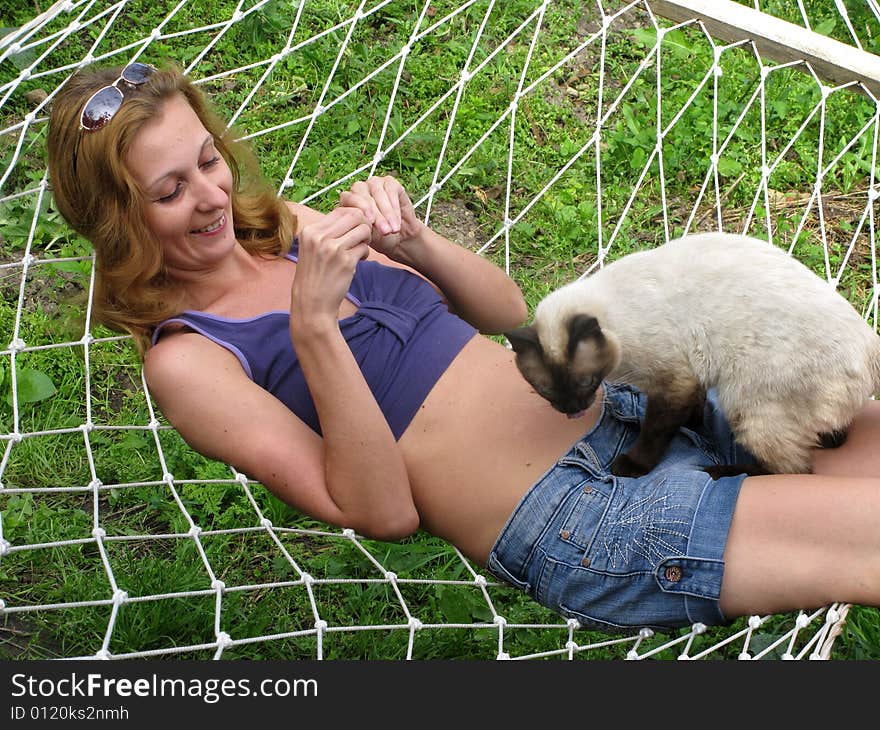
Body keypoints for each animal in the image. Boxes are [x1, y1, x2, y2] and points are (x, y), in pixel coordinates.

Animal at [506, 229, 880, 478]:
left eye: (586, 382)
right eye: (546, 389)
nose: (572, 409)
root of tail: (871, 343)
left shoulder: (673, 381)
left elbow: (655, 430)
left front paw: (632, 465)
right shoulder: (692, 375)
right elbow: (692, 410)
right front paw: (695, 424)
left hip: (744, 404)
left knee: (794, 471)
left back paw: (722, 473)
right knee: (830, 437)